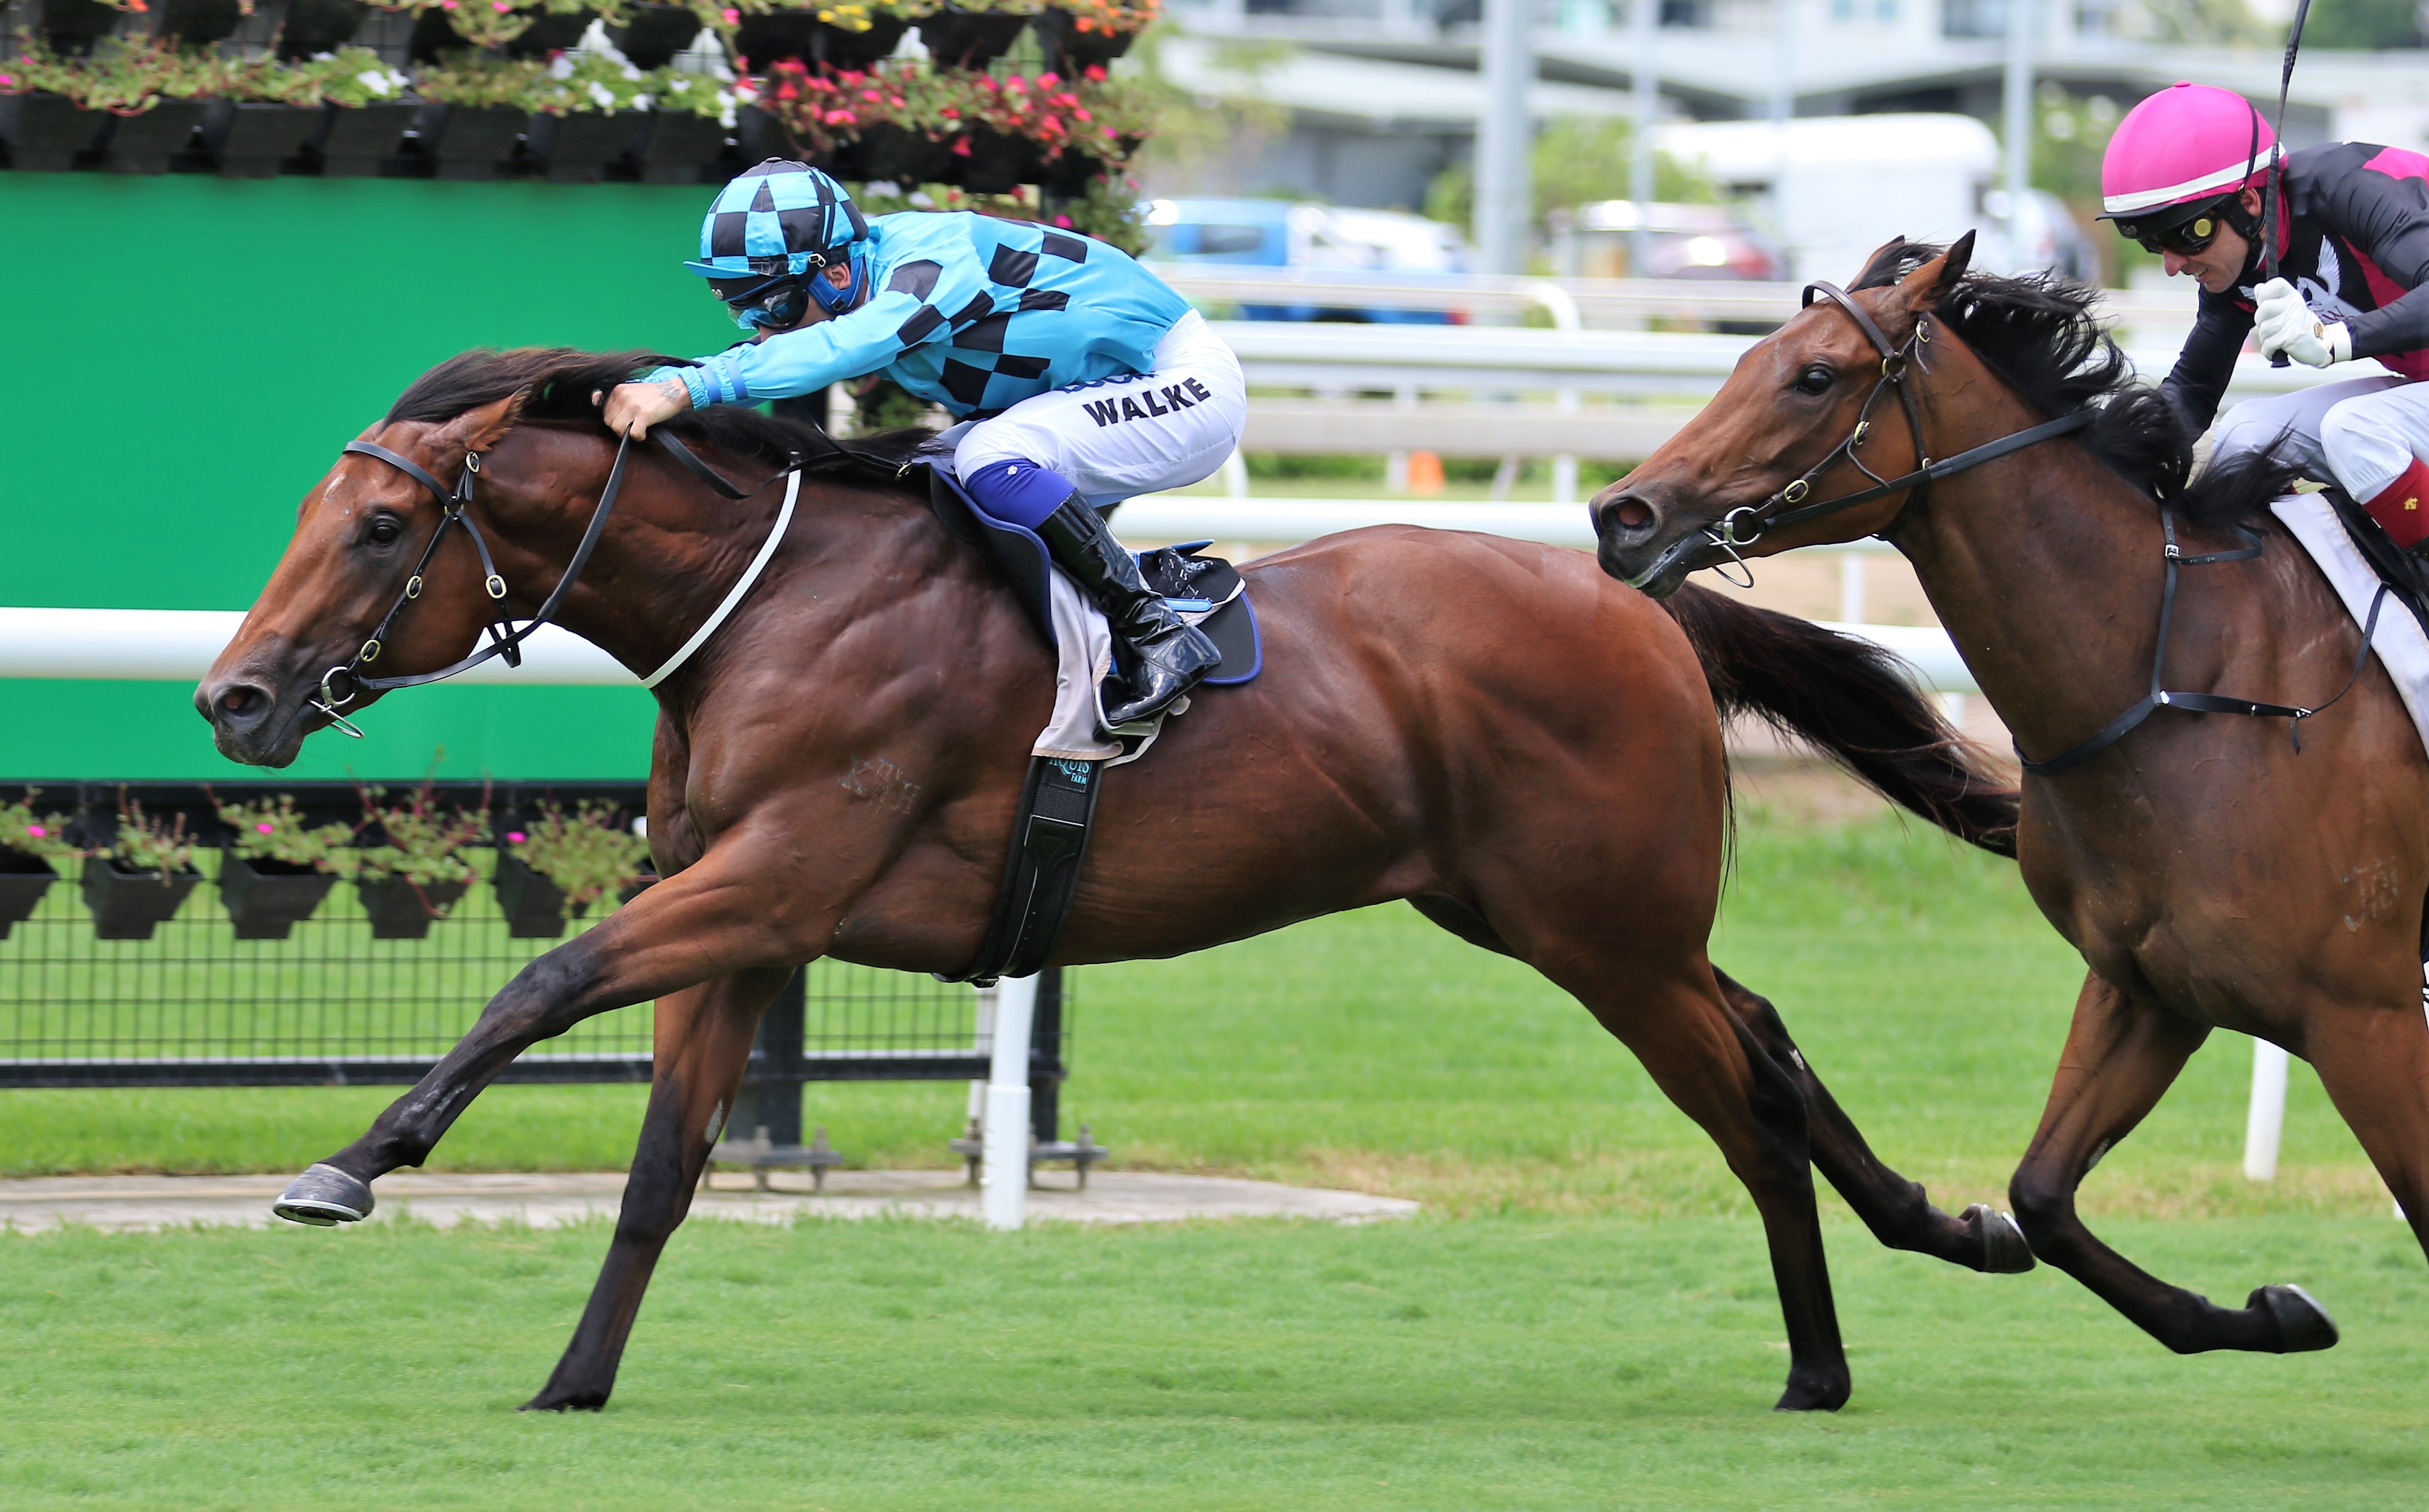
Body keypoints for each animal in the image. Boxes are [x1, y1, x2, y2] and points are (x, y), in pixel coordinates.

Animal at [198, 347, 2023, 1413]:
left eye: (377, 529)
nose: (233, 695)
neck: (770, 602)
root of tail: (1640, 601)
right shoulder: (749, 920)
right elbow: (660, 1164)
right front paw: (571, 1379)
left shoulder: (776, 880)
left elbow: (542, 977)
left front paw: (349, 1164)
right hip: (1561, 917)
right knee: (1768, 1028)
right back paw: (1931, 1217)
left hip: (1602, 935)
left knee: (1747, 1101)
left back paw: (1818, 1361)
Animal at [1593, 231, 2421, 1358]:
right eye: (1743, 358)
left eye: (1814, 376)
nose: (1621, 515)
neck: (2183, 677)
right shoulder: (2152, 986)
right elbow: (2042, 1198)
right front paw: (2269, 1311)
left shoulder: (2369, 1024)